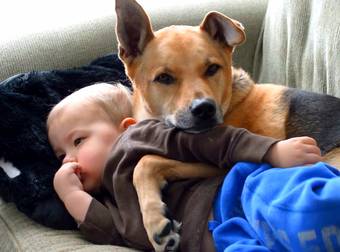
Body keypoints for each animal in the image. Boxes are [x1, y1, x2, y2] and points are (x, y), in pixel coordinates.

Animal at [115, 0, 340, 250]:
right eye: (164, 78)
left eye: (212, 68)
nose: (204, 109)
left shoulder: (217, 162)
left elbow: (146, 162)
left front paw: (155, 220)